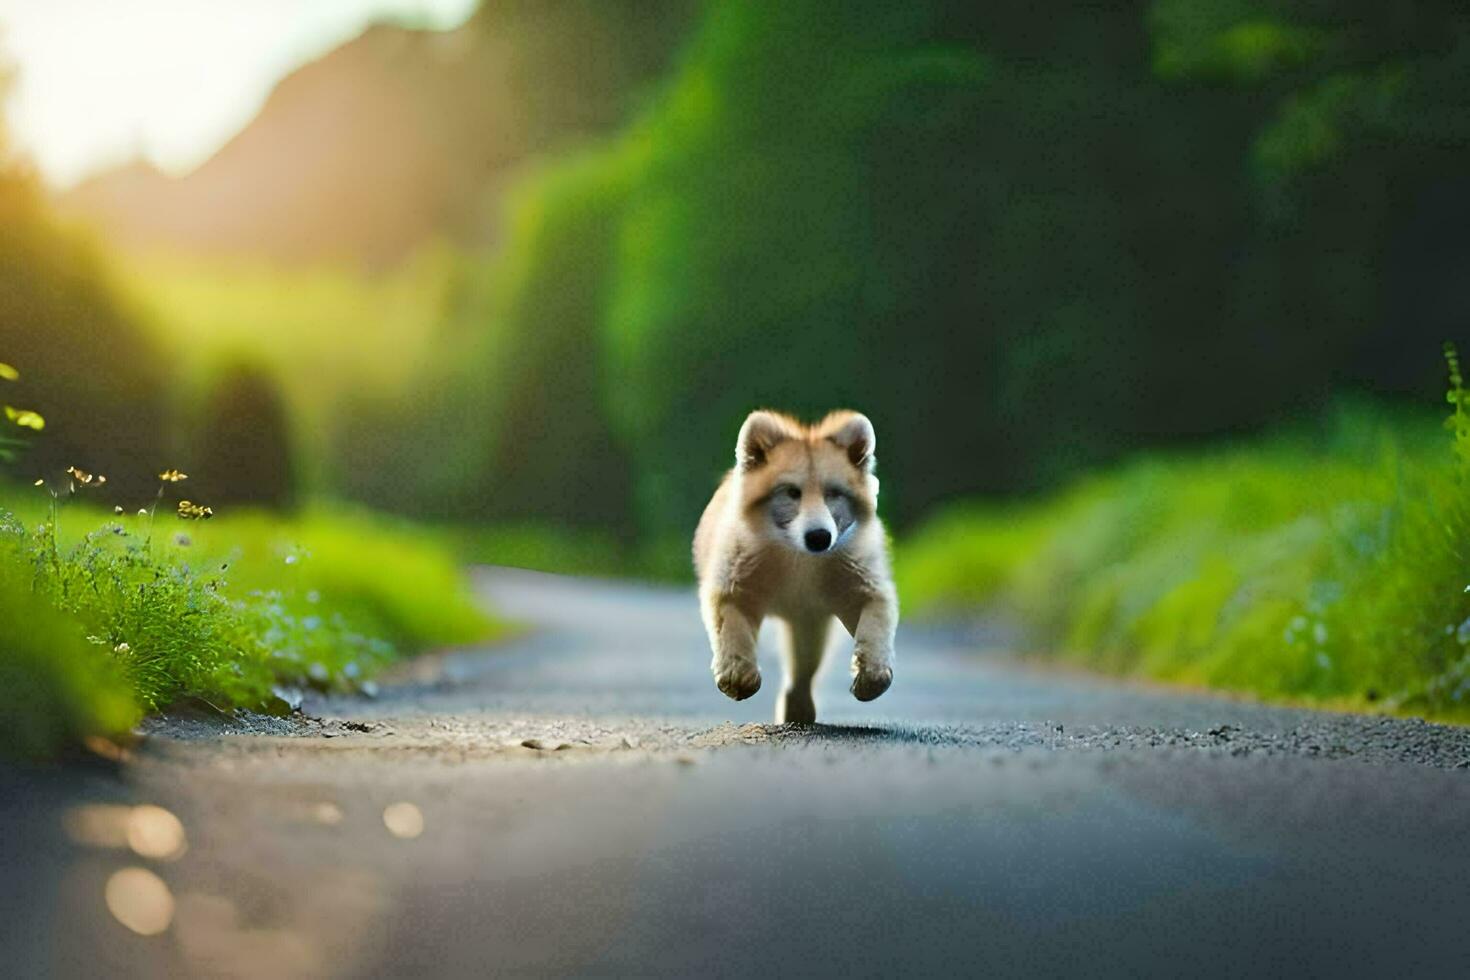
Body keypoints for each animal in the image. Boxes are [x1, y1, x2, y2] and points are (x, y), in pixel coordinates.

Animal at [690, 411, 893, 725]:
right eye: (790, 492)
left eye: (834, 493)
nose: (819, 536)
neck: (799, 560)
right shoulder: (735, 571)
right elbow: (730, 618)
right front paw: (737, 673)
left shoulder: (856, 574)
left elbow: (876, 615)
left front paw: (872, 673)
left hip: (809, 620)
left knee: (805, 666)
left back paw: (798, 706)